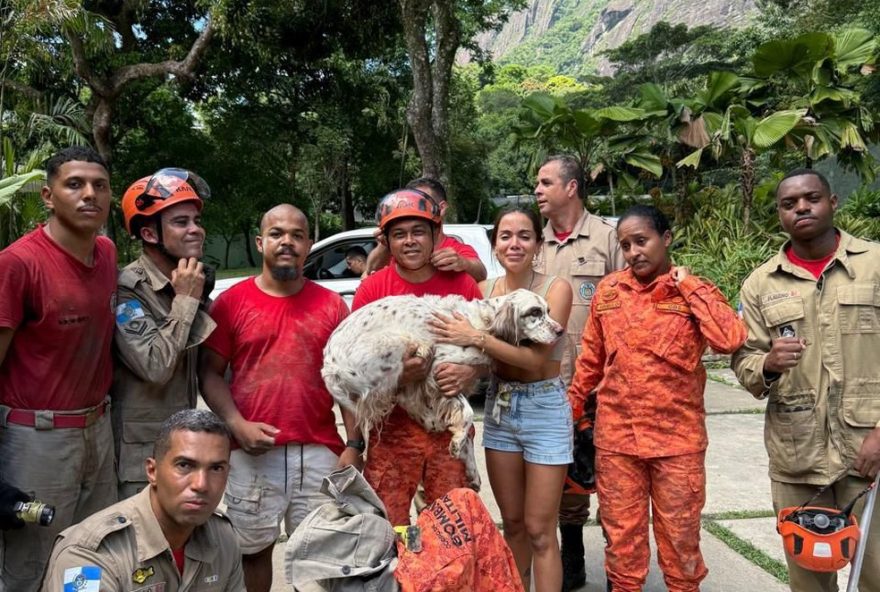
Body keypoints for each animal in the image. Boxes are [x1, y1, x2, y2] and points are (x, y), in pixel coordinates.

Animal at [324, 290, 564, 490]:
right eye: (535, 312)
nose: (561, 330)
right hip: (396, 342)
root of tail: (328, 363)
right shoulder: (438, 369)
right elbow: (467, 413)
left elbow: (466, 432)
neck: (482, 322)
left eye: (548, 311)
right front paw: (457, 442)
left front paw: (471, 470)